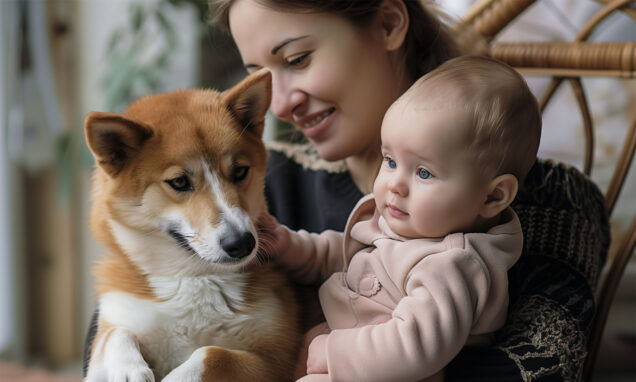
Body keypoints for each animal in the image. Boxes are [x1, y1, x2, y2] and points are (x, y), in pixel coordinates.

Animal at [83, 69, 300, 382]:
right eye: (179, 182)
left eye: (240, 171)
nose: (241, 243)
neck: (193, 277)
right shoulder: (112, 323)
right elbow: (116, 334)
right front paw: (128, 369)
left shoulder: (274, 362)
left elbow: (211, 354)